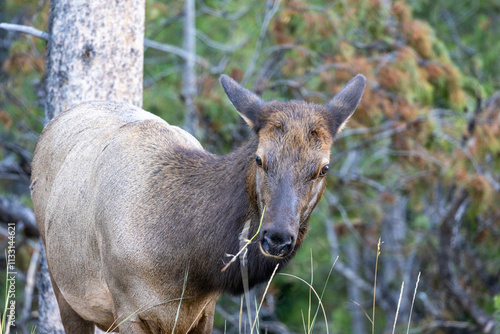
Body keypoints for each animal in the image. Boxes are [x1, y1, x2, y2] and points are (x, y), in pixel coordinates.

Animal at [32, 74, 368, 332]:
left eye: (324, 168)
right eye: (259, 159)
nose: (276, 237)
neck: (188, 266)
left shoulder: (205, 311)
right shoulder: (127, 309)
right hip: (62, 282)